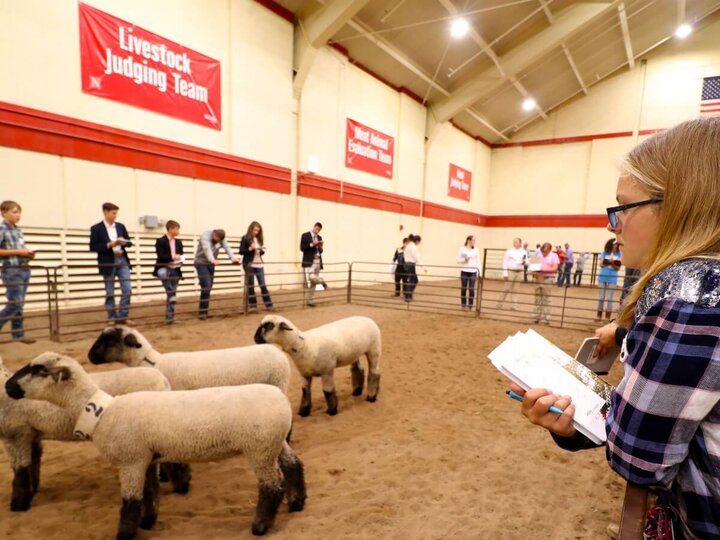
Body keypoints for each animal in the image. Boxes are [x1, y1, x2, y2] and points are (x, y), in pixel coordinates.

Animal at [0, 356, 191, 512]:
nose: (8, 386)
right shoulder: (31, 434)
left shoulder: (16, 434)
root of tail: (163, 381)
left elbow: (20, 471)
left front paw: (19, 504)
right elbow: (34, 463)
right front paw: (33, 490)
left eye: (38, 370)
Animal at [256, 314, 386, 416]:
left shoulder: (327, 371)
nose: (256, 338)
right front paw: (303, 412)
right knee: (358, 369)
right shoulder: (304, 373)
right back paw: (357, 391)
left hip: (374, 350)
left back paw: (371, 397)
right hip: (354, 353)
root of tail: (367, 318)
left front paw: (332, 411)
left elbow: (327, 391)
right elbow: (305, 391)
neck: (304, 345)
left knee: (374, 373)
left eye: (270, 326)